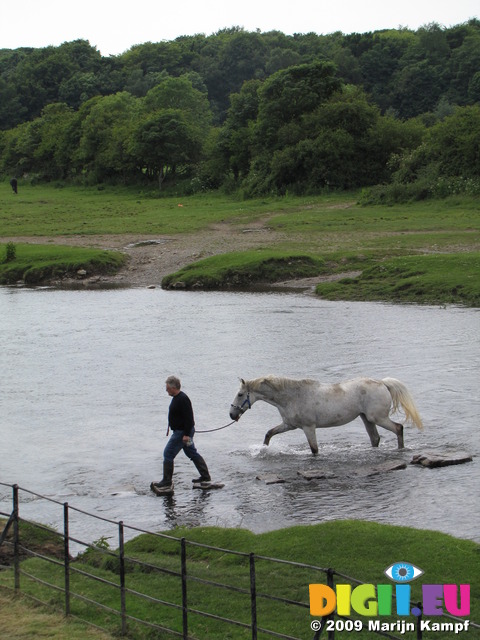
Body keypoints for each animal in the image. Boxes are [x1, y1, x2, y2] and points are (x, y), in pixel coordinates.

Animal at [227, 376, 422, 456]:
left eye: (240, 394)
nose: (231, 414)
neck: (292, 396)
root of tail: (382, 383)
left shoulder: (308, 427)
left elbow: (314, 450)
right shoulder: (289, 425)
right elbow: (269, 433)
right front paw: (263, 450)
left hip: (377, 418)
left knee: (398, 428)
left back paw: (401, 450)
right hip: (366, 419)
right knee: (375, 438)